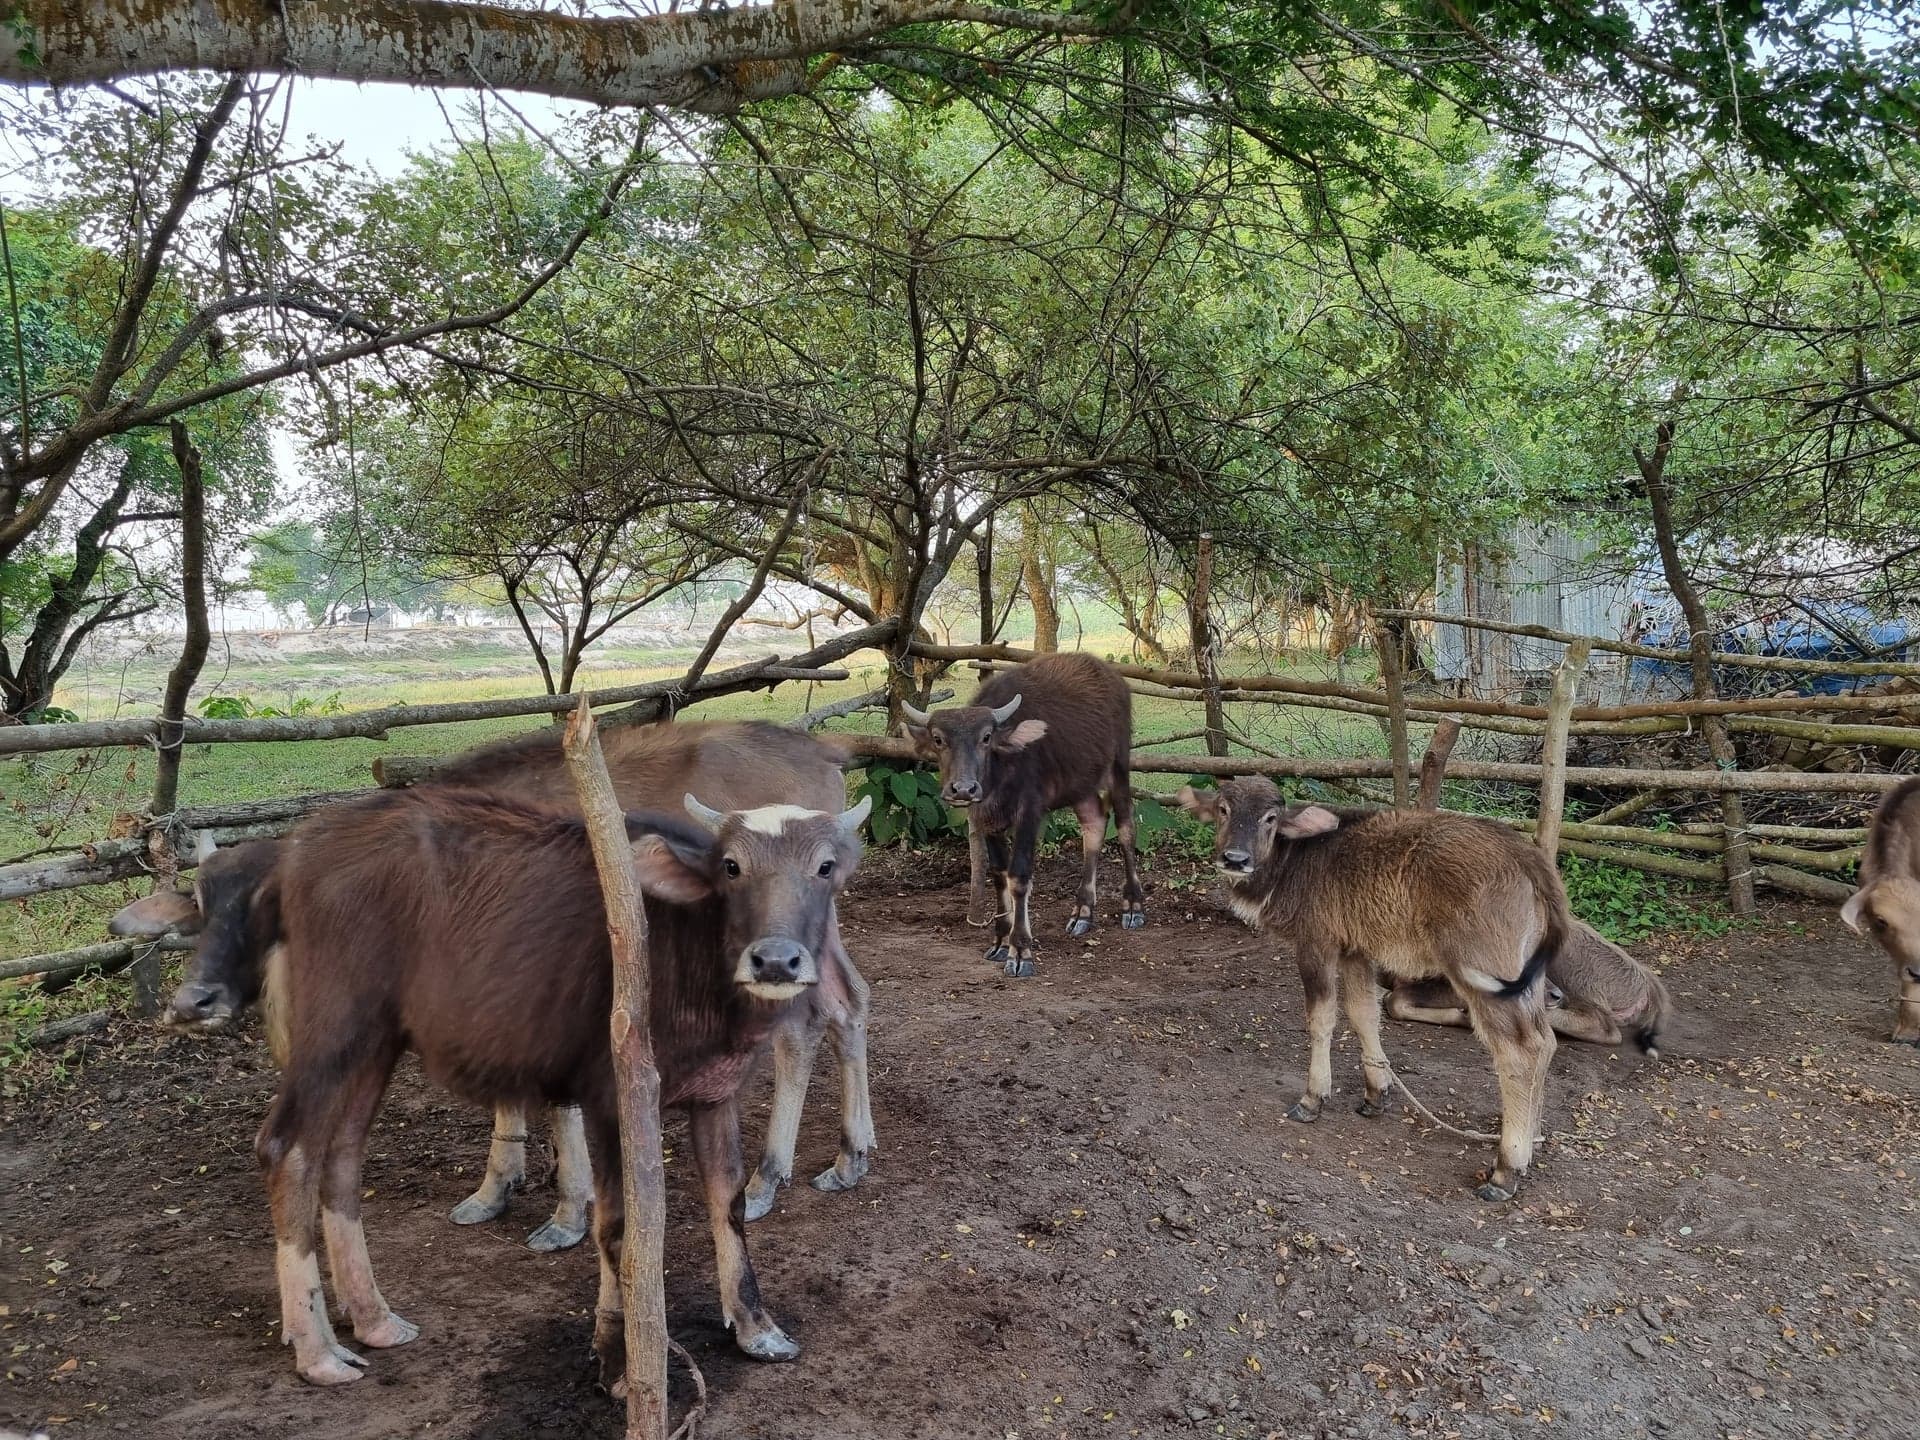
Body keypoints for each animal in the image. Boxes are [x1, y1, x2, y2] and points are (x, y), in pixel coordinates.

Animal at [256, 785, 870, 1387]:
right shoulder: (613, 1099)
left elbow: (729, 1205)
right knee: (287, 1149)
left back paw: (373, 1319)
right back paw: (317, 1349)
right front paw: (619, 1358)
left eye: (825, 867)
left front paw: (755, 1327)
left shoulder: (715, 1092)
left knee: (341, 1155)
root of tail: (298, 851)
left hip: (376, 1041)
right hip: (333, 1032)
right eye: (732, 866)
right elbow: (620, 1228)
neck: (686, 955)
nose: (776, 961)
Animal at [901, 652, 1144, 978]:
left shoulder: (1030, 812)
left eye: (986, 737)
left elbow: (1019, 875)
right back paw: (1082, 912)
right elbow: (998, 874)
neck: (1002, 771)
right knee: (1094, 822)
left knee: (1126, 826)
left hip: (1118, 765)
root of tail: (1114, 678)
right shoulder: (987, 817)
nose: (963, 789)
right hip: (1080, 783)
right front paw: (1001, 940)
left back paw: (1133, 906)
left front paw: (1020, 950)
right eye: (938, 739)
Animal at [1178, 777, 1568, 1202]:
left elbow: (1322, 1020)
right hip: (1526, 981)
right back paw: (1530, 1140)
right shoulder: (1357, 952)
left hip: (1483, 975)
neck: (1297, 860)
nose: (1235, 858)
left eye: (1270, 818)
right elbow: (1364, 1015)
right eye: (1223, 809)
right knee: (1545, 1042)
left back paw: (1506, 1169)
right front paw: (1376, 1094)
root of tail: (1527, 858)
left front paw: (1313, 1098)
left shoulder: (1317, 945)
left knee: (1520, 1051)